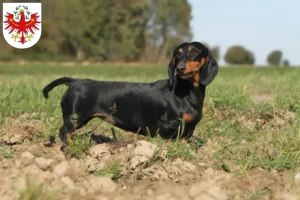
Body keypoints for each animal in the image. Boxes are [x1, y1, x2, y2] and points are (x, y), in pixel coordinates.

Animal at [42, 42, 218, 148]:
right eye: (178, 54)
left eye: (195, 52)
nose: (180, 68)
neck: (186, 92)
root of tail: (74, 81)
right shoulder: (169, 124)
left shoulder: (189, 129)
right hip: (76, 118)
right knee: (64, 132)